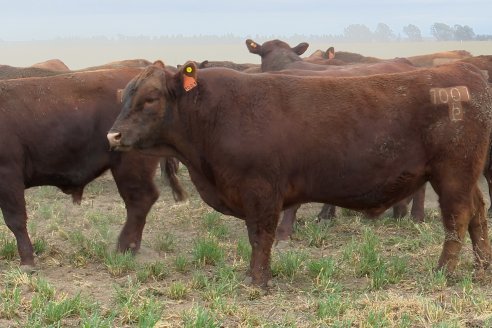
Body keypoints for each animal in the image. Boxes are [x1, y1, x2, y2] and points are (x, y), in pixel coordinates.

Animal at [0, 67, 186, 270]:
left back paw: (123, 247)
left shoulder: (8, 177)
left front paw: (27, 261)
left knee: (140, 200)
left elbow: (15, 220)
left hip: (130, 169)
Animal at [107, 60, 492, 286]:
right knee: (478, 214)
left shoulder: (261, 190)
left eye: (150, 99)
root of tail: (468, 75)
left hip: (453, 173)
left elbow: (261, 236)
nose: (113, 135)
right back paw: (482, 268)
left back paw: (444, 273)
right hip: (465, 175)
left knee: (457, 218)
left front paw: (258, 281)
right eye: (125, 96)